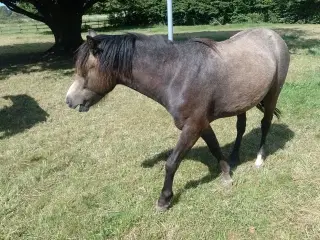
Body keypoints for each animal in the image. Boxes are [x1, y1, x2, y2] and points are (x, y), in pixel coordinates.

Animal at [65, 28, 290, 210]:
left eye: (85, 70)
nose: (69, 100)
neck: (177, 74)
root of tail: (273, 35)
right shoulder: (200, 124)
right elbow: (215, 147)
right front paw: (227, 174)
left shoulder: (193, 126)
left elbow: (172, 162)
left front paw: (164, 200)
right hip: (242, 103)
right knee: (241, 126)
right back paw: (235, 157)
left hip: (273, 95)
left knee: (265, 124)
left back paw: (259, 159)